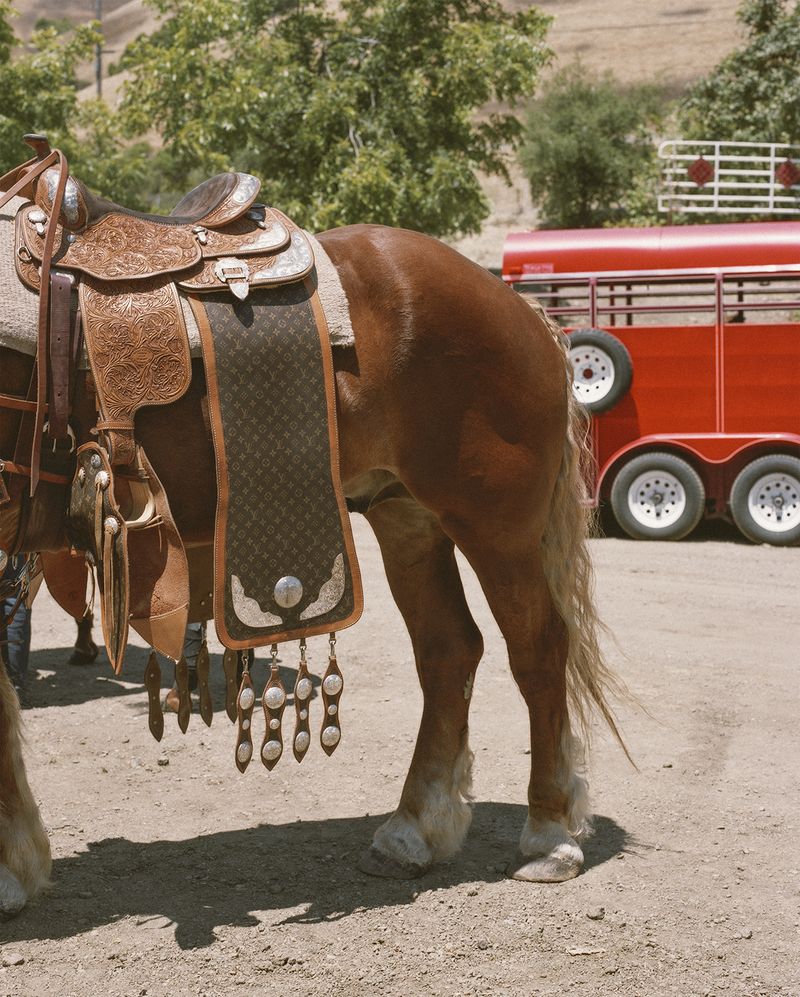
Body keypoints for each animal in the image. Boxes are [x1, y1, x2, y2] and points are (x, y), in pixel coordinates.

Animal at [0, 221, 626, 916]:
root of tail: (525, 312)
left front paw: (9, 871)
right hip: (407, 517)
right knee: (449, 651)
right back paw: (413, 830)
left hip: (496, 527)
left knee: (537, 650)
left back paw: (549, 832)